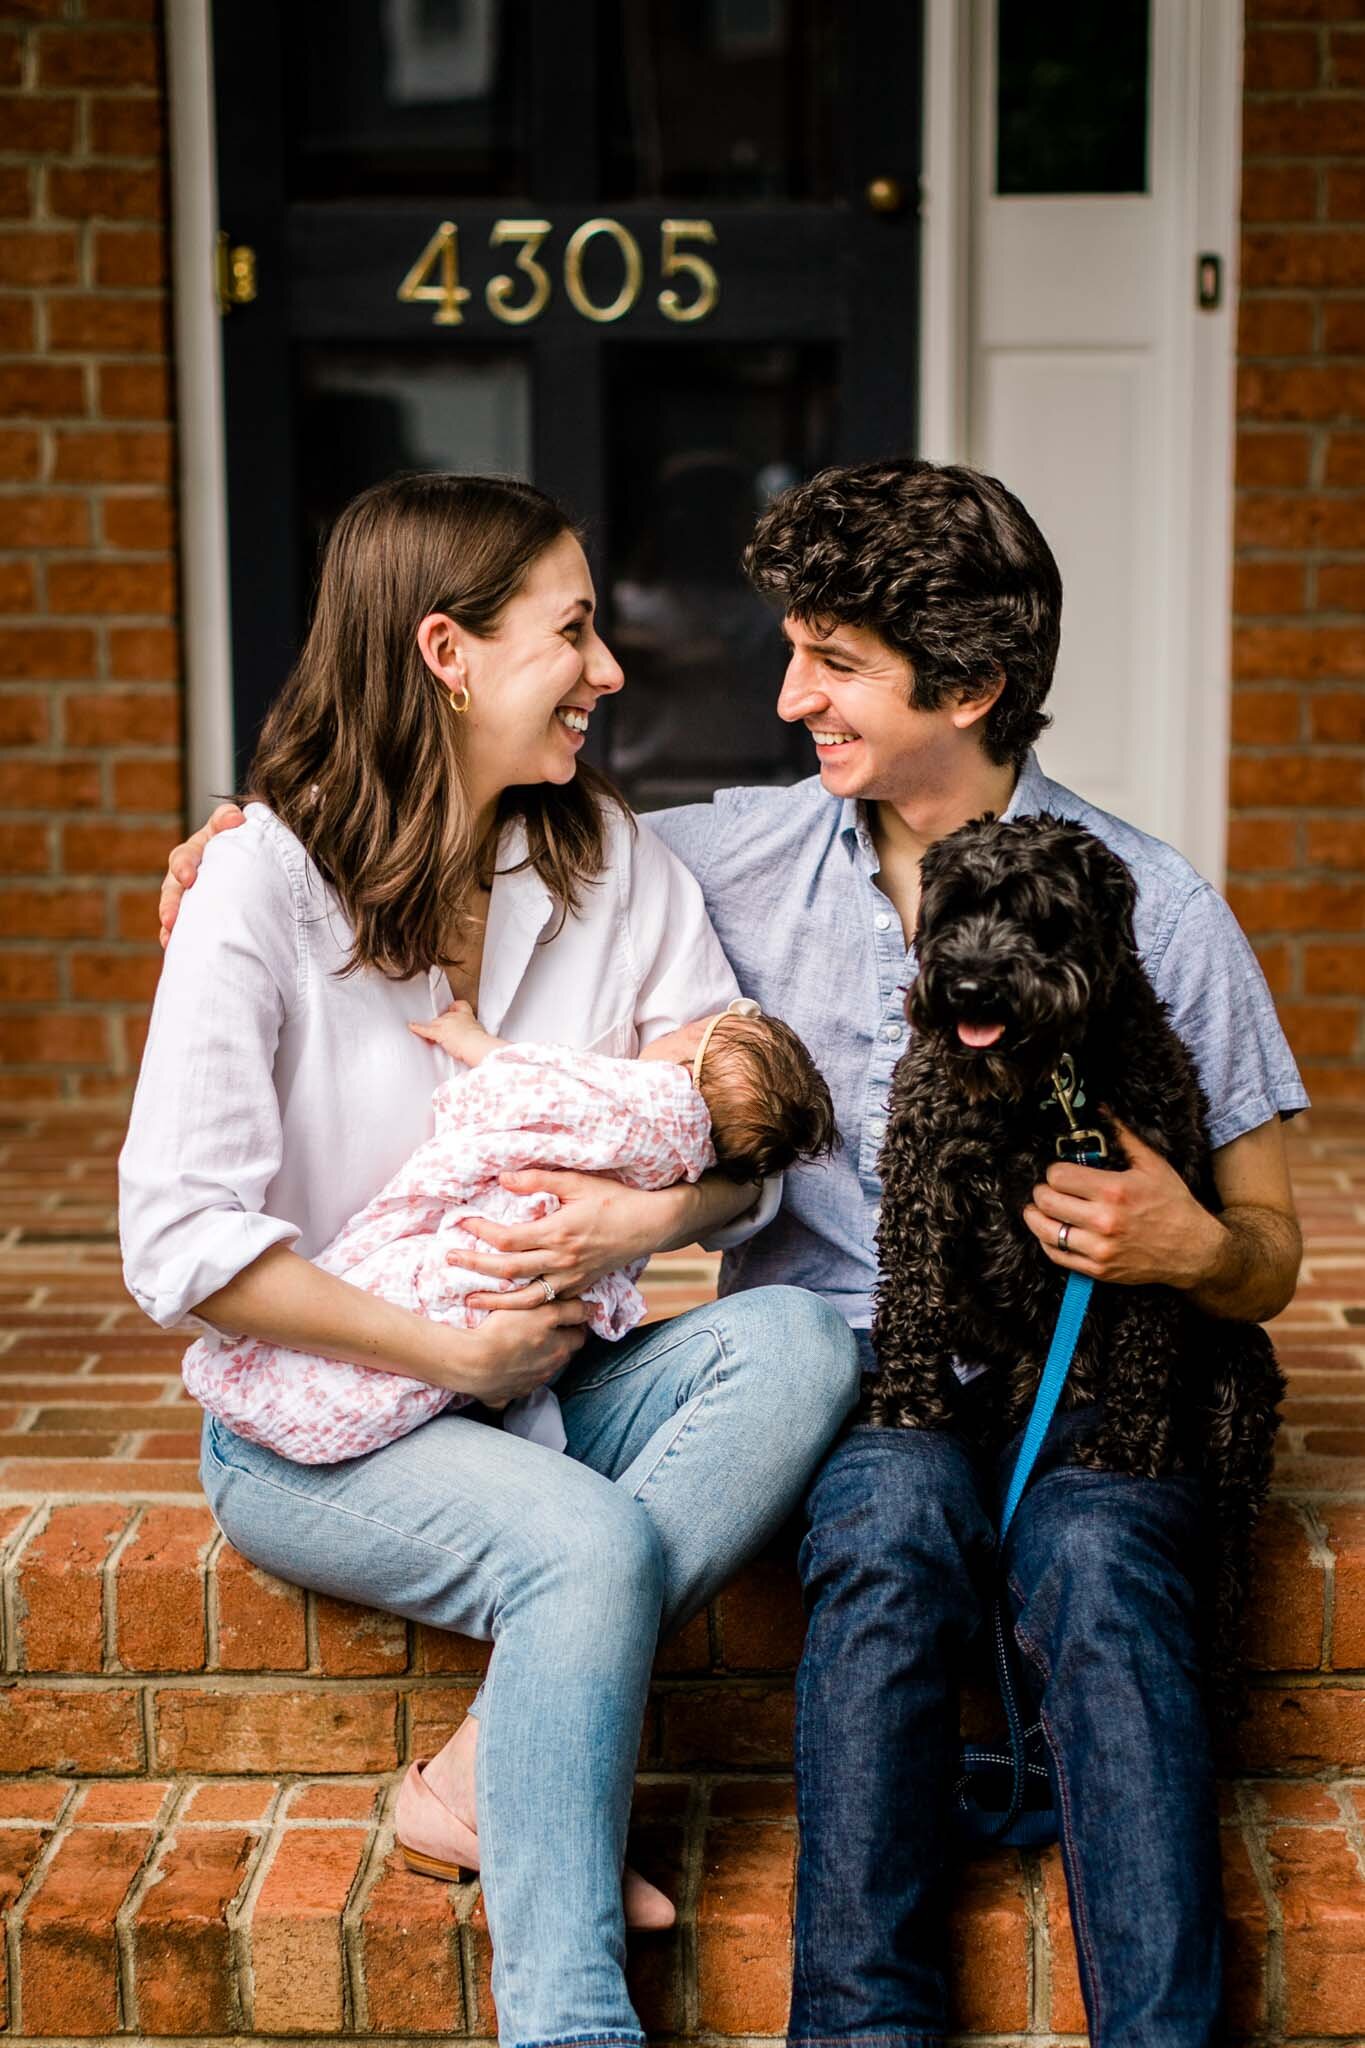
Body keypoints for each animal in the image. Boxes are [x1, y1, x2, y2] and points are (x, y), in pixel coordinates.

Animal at [871, 806, 1285, 1720]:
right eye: (955, 907)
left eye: (1041, 914)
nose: (970, 988)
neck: (1043, 1084)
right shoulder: (920, 1168)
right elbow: (910, 1292)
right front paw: (905, 1400)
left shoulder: (1148, 1208)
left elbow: (1144, 1332)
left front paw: (1129, 1449)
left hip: (1238, 1381)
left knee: (1229, 1554)